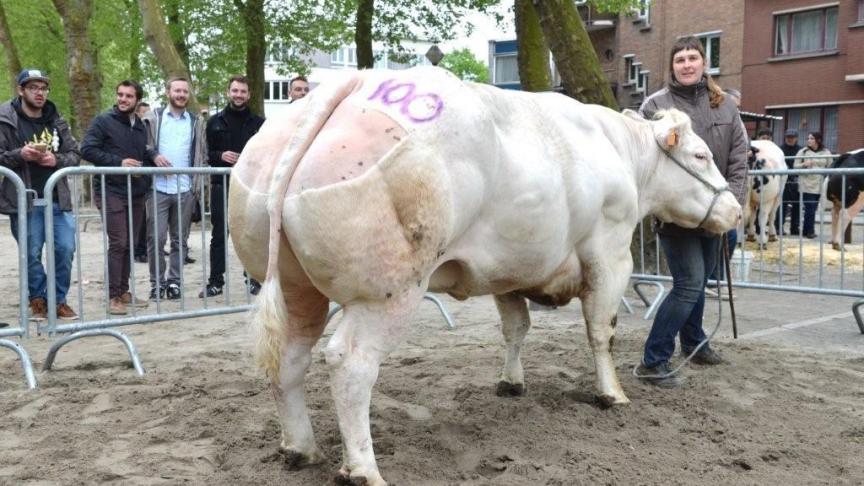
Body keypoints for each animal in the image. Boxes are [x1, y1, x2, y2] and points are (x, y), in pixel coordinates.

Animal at [228, 67, 741, 486]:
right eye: (700, 156)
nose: (736, 209)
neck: (621, 152)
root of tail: (349, 83)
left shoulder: (509, 265)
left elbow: (516, 326)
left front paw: (511, 383)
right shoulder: (610, 252)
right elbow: (602, 331)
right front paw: (611, 394)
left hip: (296, 286)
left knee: (290, 359)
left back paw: (300, 449)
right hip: (388, 292)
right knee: (350, 363)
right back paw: (363, 470)